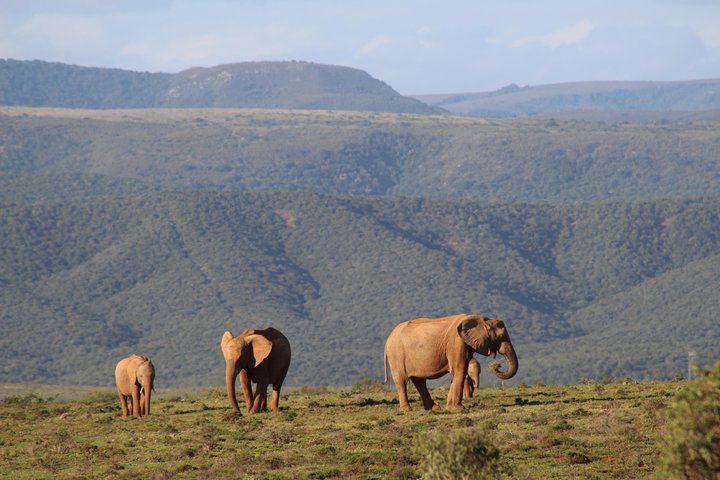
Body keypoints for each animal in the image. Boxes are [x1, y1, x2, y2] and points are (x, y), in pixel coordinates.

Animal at [384, 314, 518, 411]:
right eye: (500, 336)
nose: (496, 366)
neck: (479, 317)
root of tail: (387, 340)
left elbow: (458, 371)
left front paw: (450, 408)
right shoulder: (456, 343)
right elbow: (460, 370)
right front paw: (458, 409)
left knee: (419, 381)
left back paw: (434, 408)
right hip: (396, 354)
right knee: (401, 380)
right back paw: (407, 410)